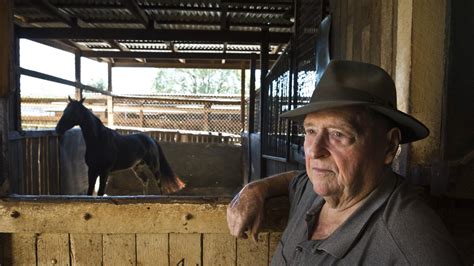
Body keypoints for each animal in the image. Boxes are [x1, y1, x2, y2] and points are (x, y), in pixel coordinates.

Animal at [56, 96, 185, 195]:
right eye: (64, 111)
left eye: (73, 112)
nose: (57, 129)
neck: (99, 140)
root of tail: (151, 139)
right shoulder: (92, 171)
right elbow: (89, 192)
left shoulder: (104, 171)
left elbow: (100, 192)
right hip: (137, 167)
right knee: (145, 180)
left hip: (154, 166)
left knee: (159, 184)